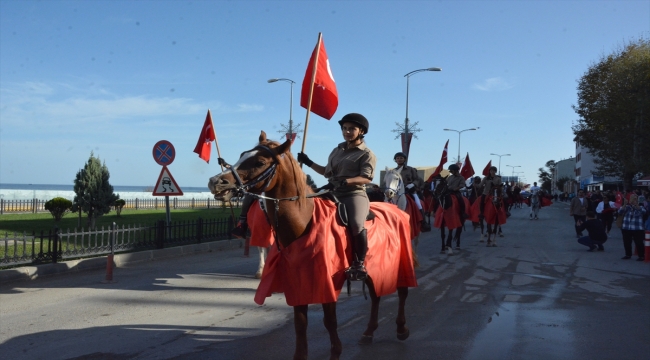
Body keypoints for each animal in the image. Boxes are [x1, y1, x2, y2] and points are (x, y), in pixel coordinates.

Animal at [208, 132, 416, 360]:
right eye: (242, 155)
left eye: (260, 162)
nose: (216, 182)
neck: (304, 221)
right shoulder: (298, 280)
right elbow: (300, 323)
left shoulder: (327, 281)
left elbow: (330, 321)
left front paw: (336, 352)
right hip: (374, 268)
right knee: (376, 296)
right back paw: (369, 332)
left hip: (399, 262)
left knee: (402, 291)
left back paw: (402, 328)